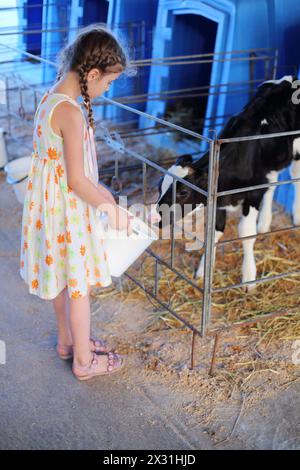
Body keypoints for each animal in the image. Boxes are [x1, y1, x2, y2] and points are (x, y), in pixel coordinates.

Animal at [156, 75, 300, 288]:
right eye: (160, 187)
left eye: (183, 192)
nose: (155, 218)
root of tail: (291, 79)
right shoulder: (218, 201)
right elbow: (214, 233)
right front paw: (204, 270)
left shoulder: (253, 193)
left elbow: (246, 233)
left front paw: (249, 277)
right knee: (272, 183)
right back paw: (264, 223)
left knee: (295, 176)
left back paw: (296, 216)